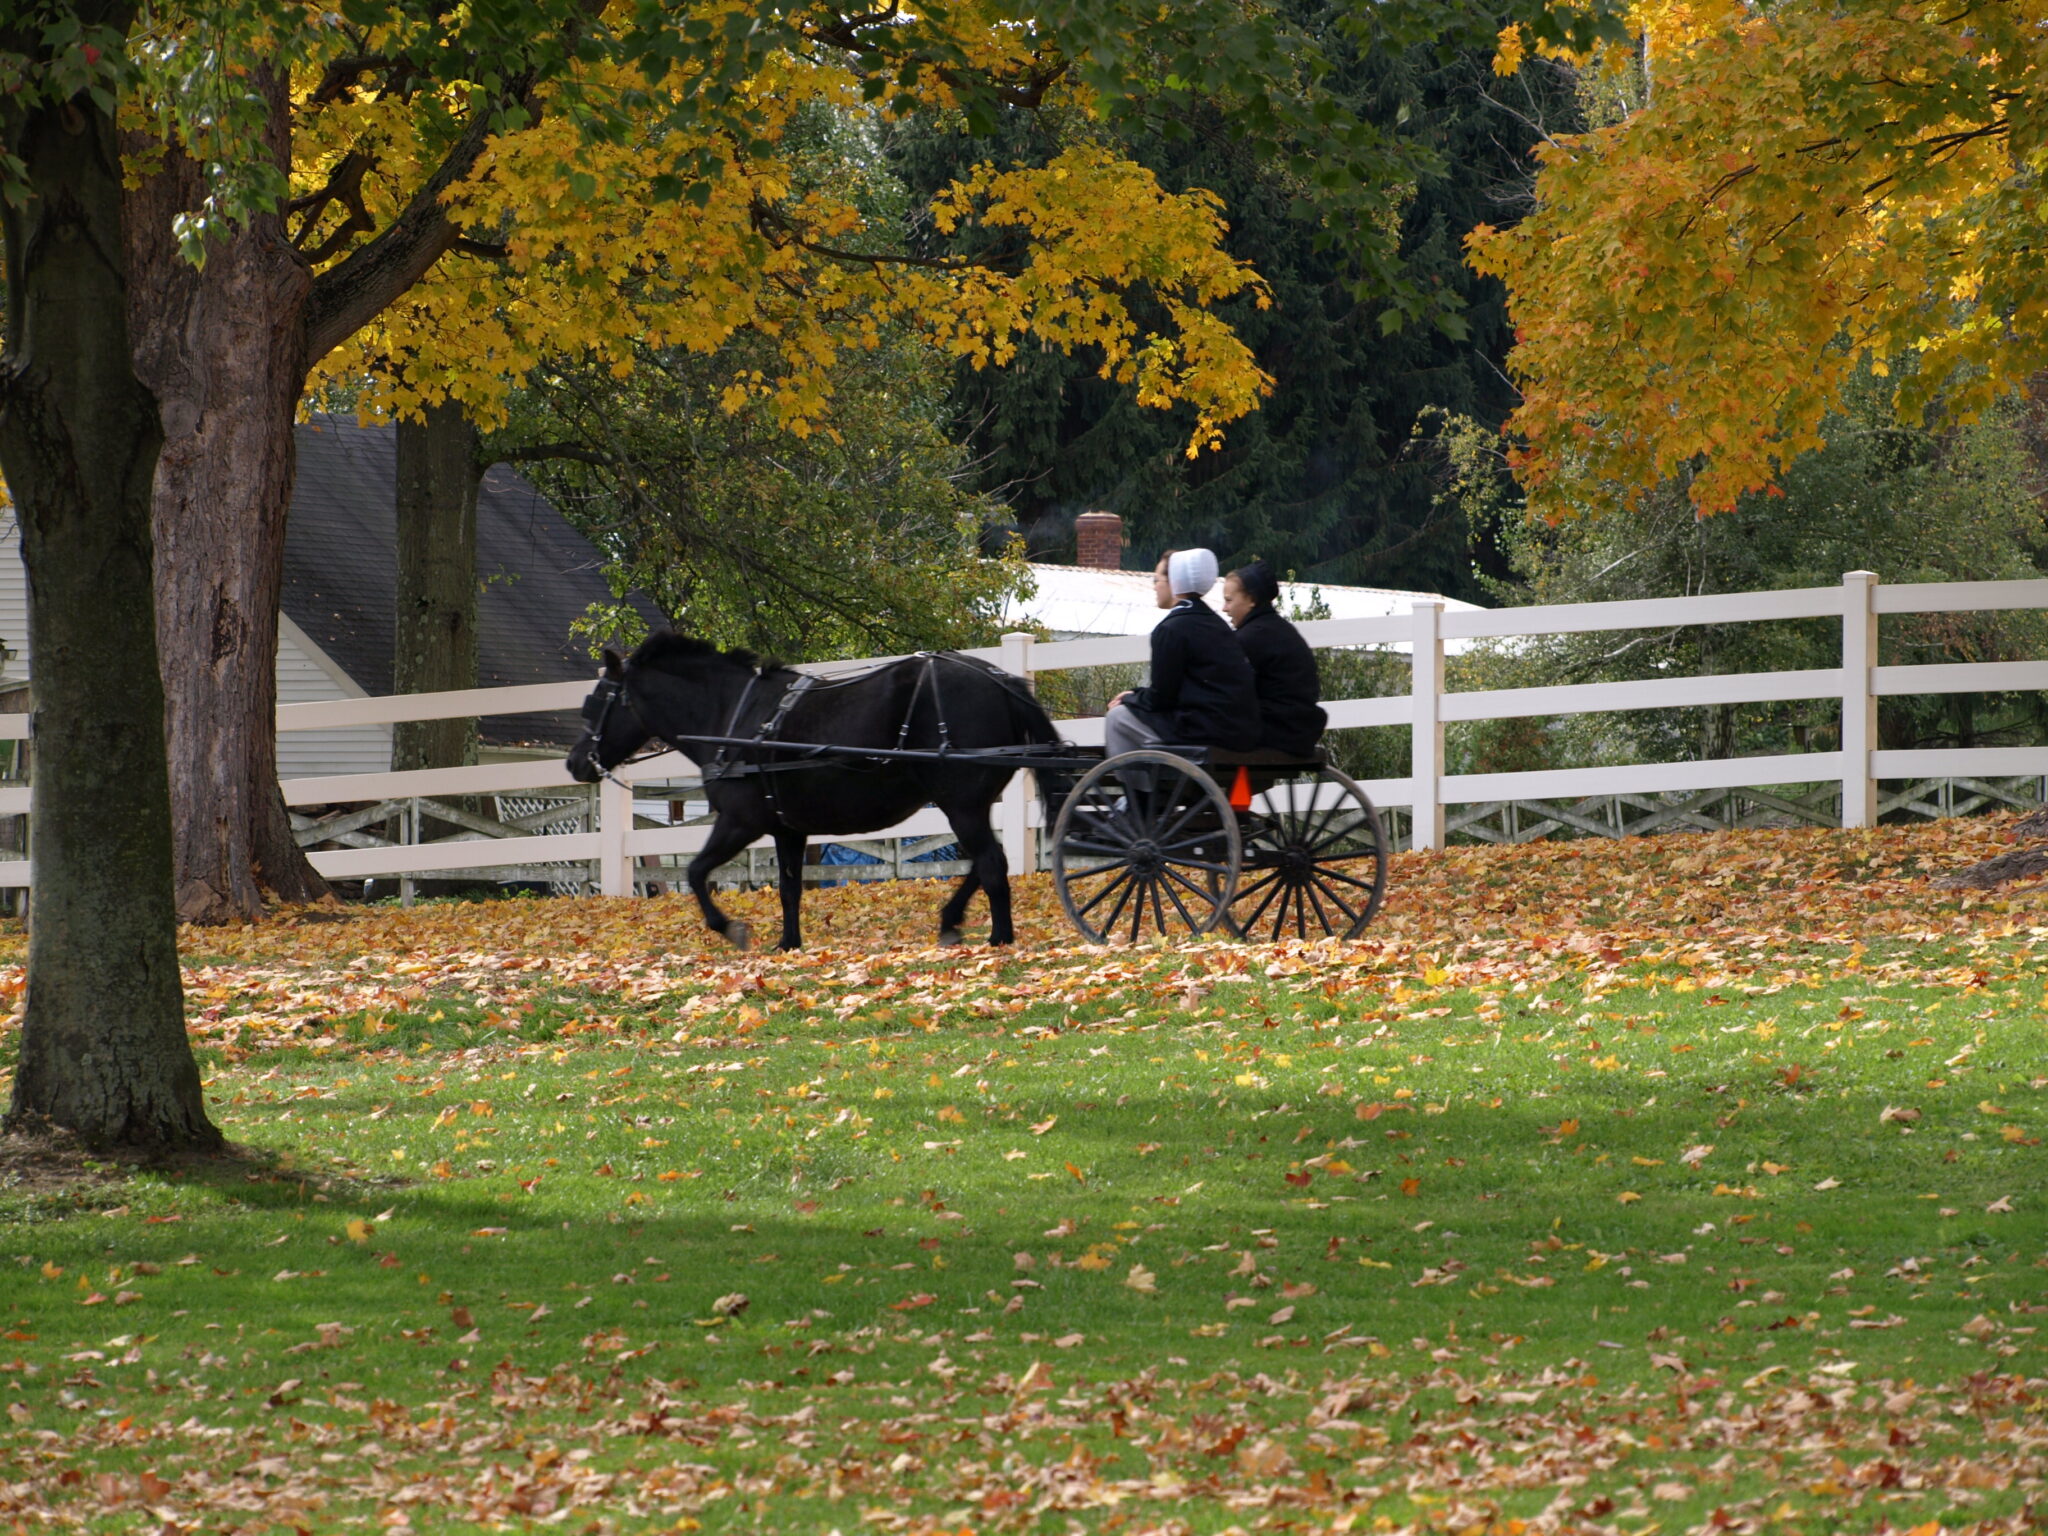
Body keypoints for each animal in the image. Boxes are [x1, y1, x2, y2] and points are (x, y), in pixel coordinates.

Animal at [569, 626, 1064, 946]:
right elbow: (789, 888)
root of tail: (1002, 681)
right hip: (968, 804)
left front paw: (730, 928)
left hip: (960, 804)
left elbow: (694, 872)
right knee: (985, 863)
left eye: (594, 703)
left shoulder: (739, 821)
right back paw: (953, 919)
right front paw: (789, 943)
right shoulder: (787, 828)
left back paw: (999, 938)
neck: (734, 717)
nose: (575, 762)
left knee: (992, 864)